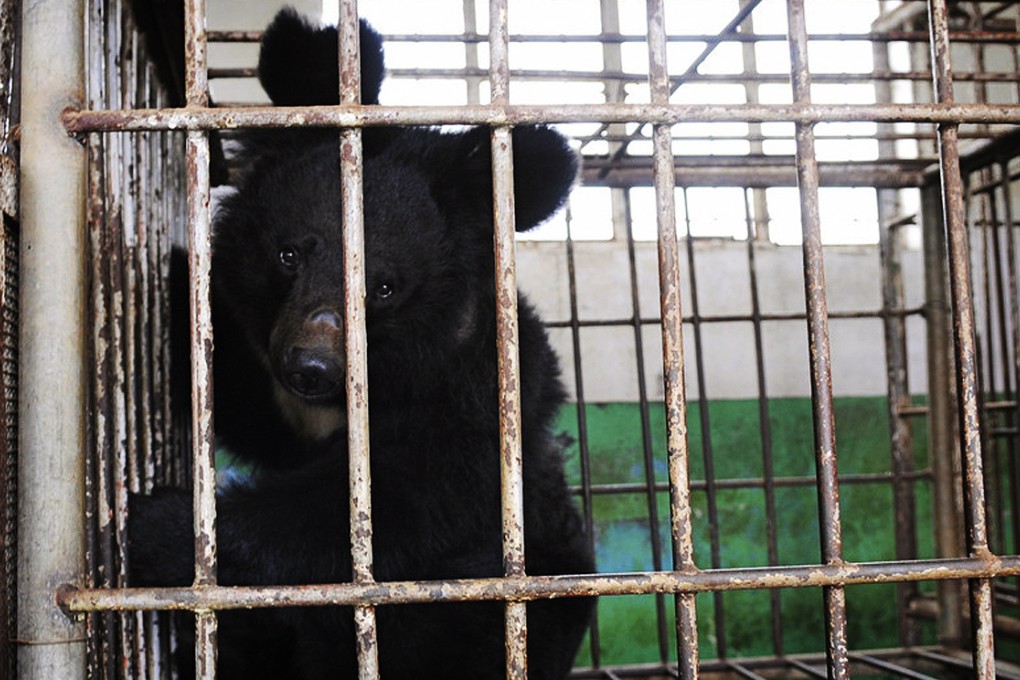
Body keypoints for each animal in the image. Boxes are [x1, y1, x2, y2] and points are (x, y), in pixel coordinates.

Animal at [129, 9, 594, 680]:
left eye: (384, 287)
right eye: (289, 254)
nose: (311, 367)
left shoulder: (475, 401)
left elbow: (384, 506)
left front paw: (158, 529)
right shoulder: (286, 404)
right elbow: (250, 403)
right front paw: (174, 282)